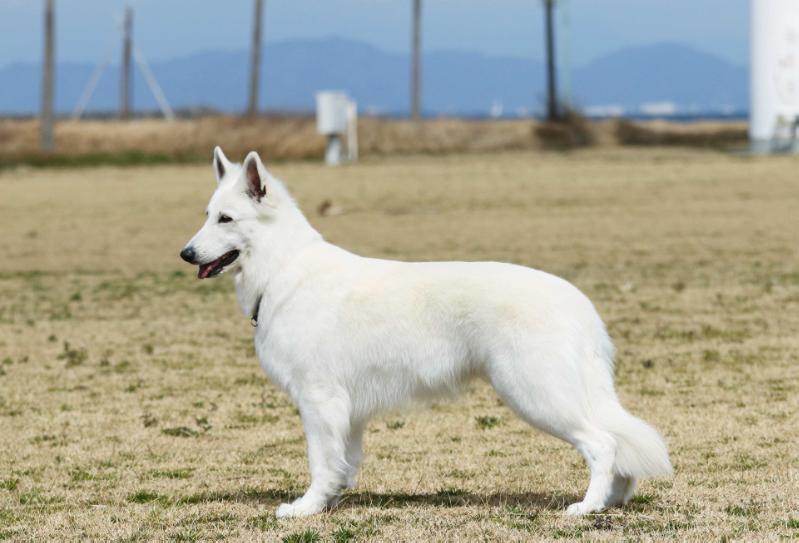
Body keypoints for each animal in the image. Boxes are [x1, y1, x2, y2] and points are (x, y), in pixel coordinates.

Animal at [180, 148, 668, 520]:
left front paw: (305, 508)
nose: (185, 253)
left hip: (536, 395)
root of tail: (579, 303)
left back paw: (586, 507)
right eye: (206, 216)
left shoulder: (319, 401)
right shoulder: (346, 410)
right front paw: (331, 501)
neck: (282, 268)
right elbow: (342, 463)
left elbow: (320, 462)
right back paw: (612, 501)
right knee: (619, 444)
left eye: (226, 219)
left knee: (603, 443)